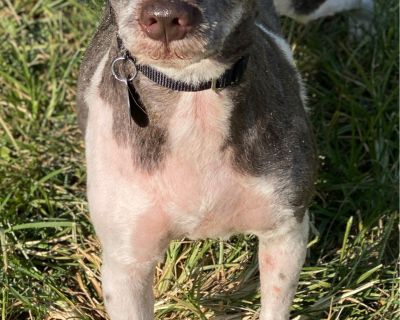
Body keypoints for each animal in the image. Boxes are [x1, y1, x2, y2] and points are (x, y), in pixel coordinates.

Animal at [77, 0, 372, 320]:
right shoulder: (126, 264)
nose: (166, 16)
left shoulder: (285, 233)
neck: (193, 92)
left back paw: (363, 31)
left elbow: (275, 307)